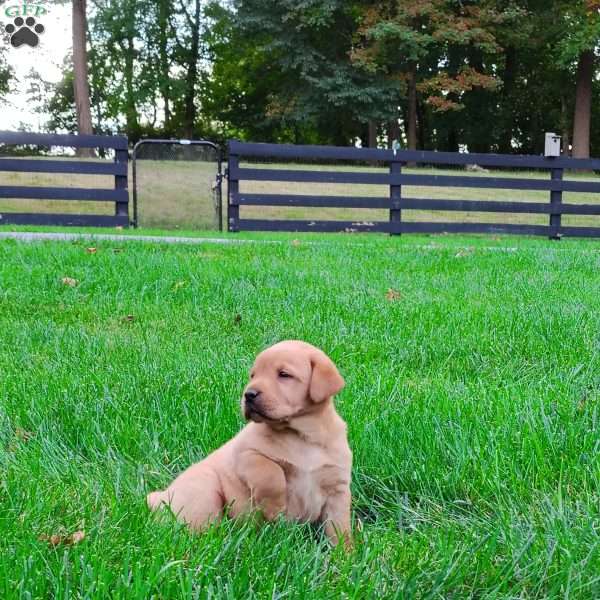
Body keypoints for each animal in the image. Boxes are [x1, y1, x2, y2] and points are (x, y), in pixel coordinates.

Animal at [149, 342, 352, 544]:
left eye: (284, 374)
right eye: (253, 375)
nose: (249, 394)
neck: (303, 435)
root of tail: (158, 498)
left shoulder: (338, 489)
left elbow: (340, 528)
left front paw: (344, 552)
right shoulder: (245, 453)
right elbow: (271, 473)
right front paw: (274, 508)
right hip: (205, 490)